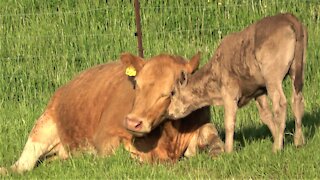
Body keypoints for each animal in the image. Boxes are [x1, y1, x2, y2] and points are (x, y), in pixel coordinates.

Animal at [0, 53, 224, 174]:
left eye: (171, 92)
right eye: (136, 85)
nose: (133, 122)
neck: (168, 136)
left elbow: (212, 136)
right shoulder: (106, 137)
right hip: (43, 126)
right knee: (24, 163)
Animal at [166, 13, 306, 153]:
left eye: (173, 93)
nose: (168, 112)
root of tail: (288, 18)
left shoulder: (229, 93)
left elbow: (229, 122)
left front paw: (228, 151)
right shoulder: (258, 91)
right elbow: (266, 115)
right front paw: (279, 138)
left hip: (273, 78)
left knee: (281, 103)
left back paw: (276, 148)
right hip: (297, 70)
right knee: (297, 99)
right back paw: (298, 142)